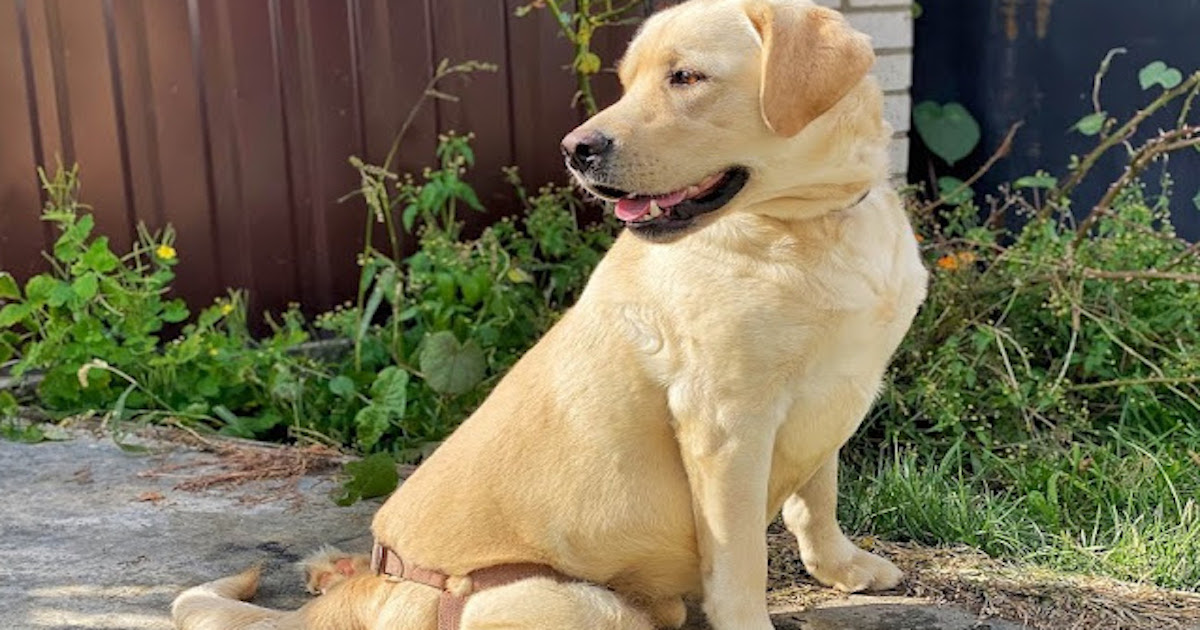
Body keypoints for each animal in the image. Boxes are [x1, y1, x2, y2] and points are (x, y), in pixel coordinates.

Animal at [174, 0, 926, 624]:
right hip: (570, 602)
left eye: (685, 76)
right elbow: (740, 562)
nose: (576, 150)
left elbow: (817, 499)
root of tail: (362, 591)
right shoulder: (727, 426)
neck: (813, 224)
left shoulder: (828, 395)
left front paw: (843, 569)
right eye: (626, 81)